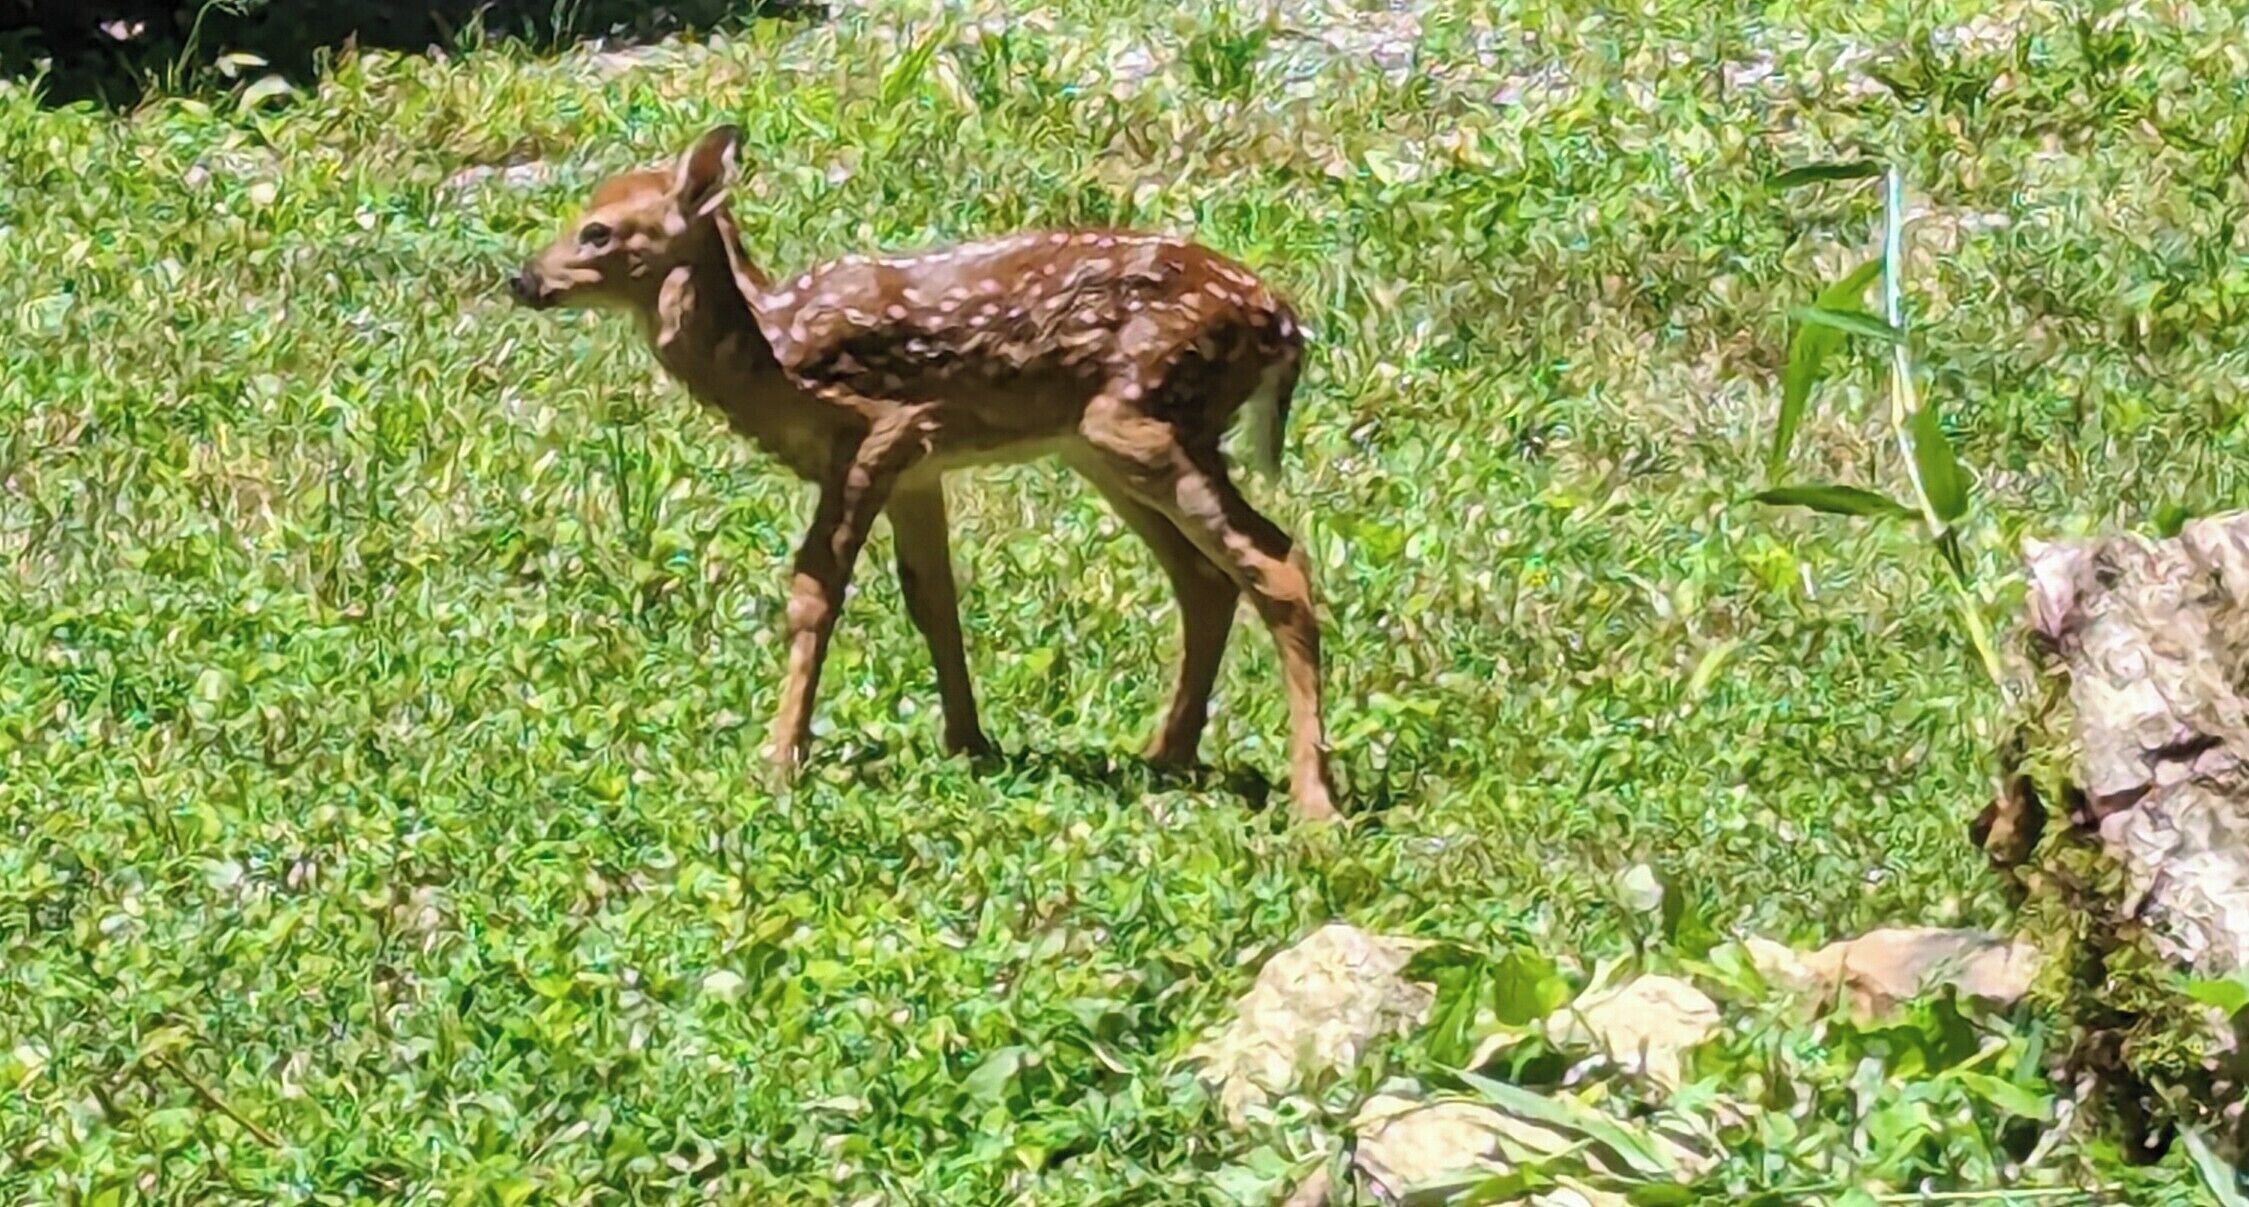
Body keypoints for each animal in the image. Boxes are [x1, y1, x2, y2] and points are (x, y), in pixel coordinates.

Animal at [507, 125, 1340, 820]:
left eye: (598, 231)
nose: (522, 280)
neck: (772, 353)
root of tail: (1283, 322)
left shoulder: (880, 430)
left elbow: (814, 592)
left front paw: (779, 758)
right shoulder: (919, 466)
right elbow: (932, 597)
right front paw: (969, 741)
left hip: (1140, 420)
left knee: (1274, 560)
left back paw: (1312, 805)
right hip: (1102, 443)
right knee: (1206, 578)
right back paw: (1165, 755)